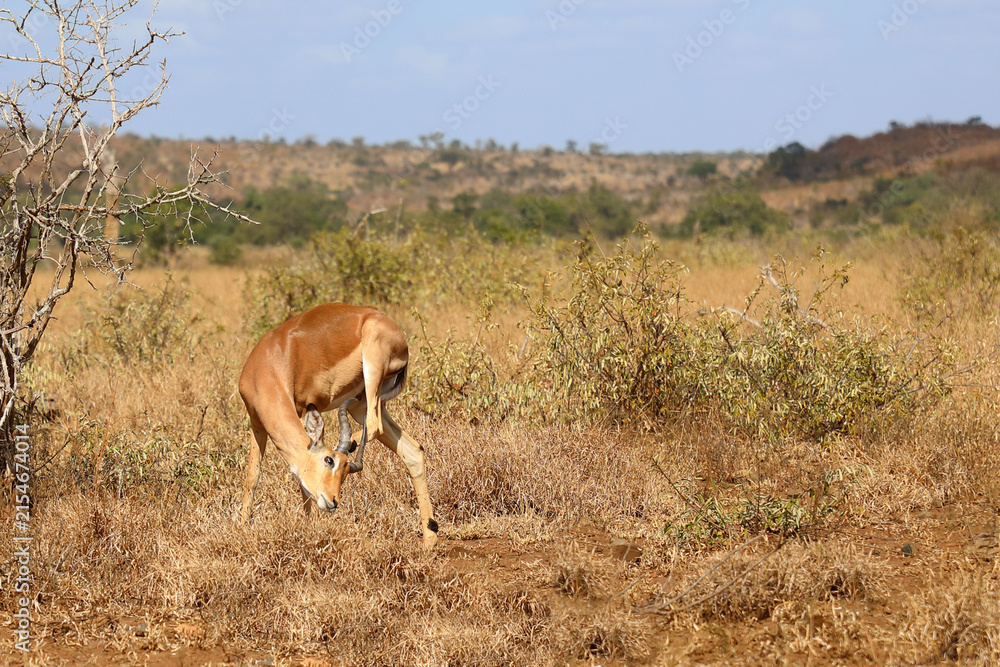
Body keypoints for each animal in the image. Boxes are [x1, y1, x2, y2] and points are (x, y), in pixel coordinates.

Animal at [238, 303, 438, 548]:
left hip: (371, 375)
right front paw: (242, 527)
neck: (272, 361)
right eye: (328, 460)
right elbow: (253, 477)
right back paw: (429, 540)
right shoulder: (256, 422)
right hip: (360, 404)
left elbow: (302, 484)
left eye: (343, 471)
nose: (333, 501)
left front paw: (308, 530)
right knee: (413, 450)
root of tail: (388, 323)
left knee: (374, 425)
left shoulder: (301, 408)